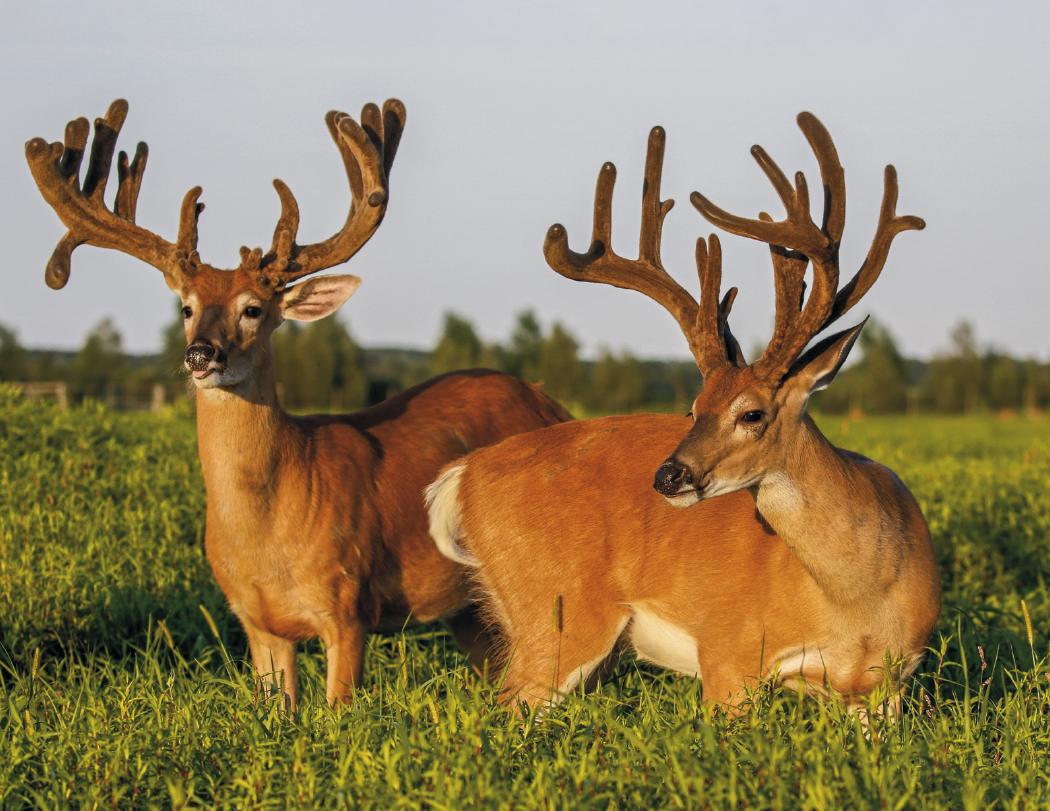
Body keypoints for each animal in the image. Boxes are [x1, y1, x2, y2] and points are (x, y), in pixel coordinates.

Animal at [26, 98, 572, 710]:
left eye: (253, 309)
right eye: (186, 308)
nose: (200, 354)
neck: (266, 533)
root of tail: (552, 403)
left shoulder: (348, 604)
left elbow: (339, 709)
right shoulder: (254, 622)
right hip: (469, 609)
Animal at [427, 113, 941, 719]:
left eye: (752, 413)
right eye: (694, 407)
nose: (668, 475)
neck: (860, 603)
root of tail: (464, 474)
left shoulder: (887, 688)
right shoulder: (729, 651)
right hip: (555, 612)